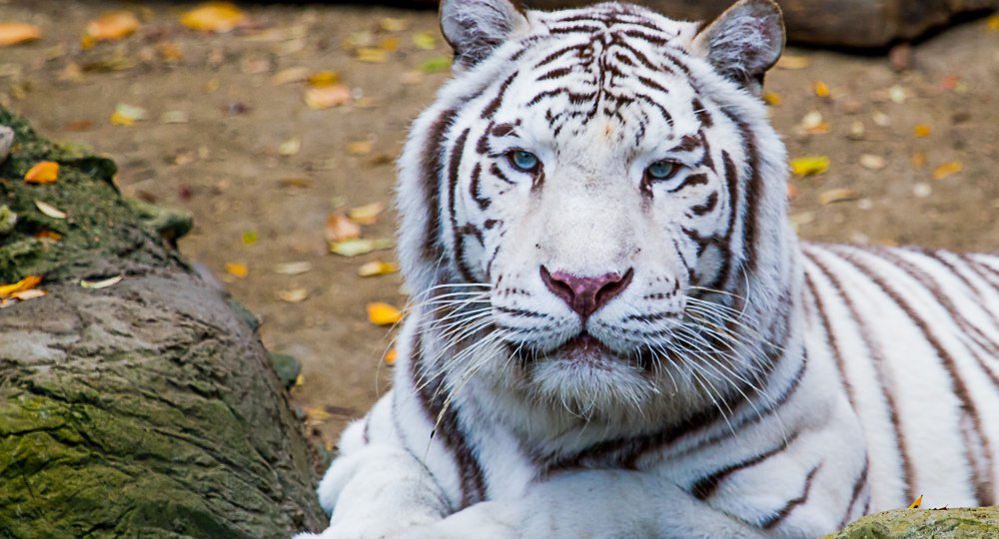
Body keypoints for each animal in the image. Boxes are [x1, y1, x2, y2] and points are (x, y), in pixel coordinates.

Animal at [296, 2, 999, 536]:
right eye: (524, 161)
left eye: (661, 171)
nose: (584, 286)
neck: (552, 417)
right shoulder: (373, 442)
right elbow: (386, 491)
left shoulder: (808, 503)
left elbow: (600, 496)